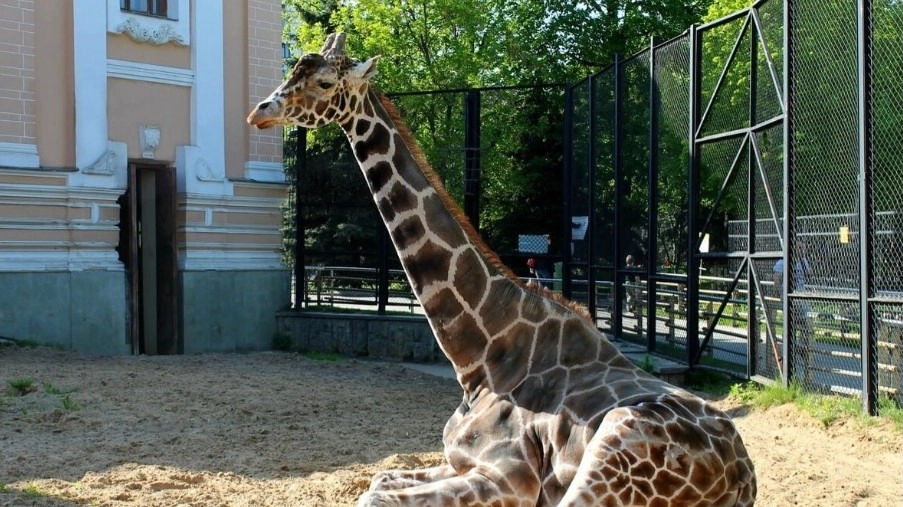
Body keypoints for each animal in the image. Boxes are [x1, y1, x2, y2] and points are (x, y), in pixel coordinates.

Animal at [247, 32, 756, 507]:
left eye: (325, 82)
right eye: (293, 72)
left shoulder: (509, 478)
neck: (481, 359)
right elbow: (378, 478)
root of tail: (742, 473)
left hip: (613, 451)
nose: (259, 112)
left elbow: (372, 494)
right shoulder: (456, 461)